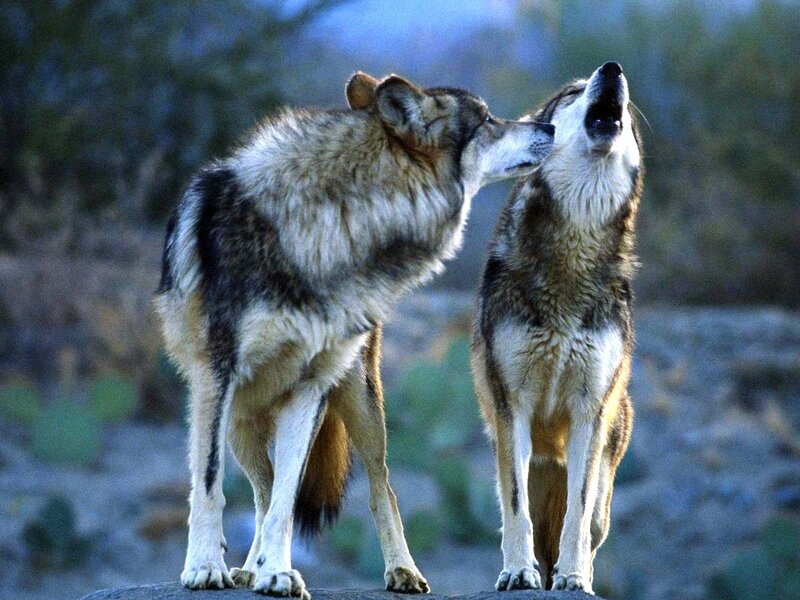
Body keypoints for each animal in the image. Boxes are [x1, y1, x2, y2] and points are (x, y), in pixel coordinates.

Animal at [155, 71, 555, 598]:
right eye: (488, 120)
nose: (550, 126)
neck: (337, 221)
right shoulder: (215, 378)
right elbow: (210, 484)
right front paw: (205, 566)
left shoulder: (308, 388)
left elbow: (286, 500)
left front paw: (278, 571)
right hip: (240, 418)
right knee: (259, 488)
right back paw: (246, 568)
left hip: (359, 402)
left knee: (377, 486)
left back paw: (400, 571)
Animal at [472, 61, 643, 593]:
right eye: (571, 92)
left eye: (629, 109)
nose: (613, 68)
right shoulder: (512, 406)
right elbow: (516, 508)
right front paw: (517, 572)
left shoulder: (590, 410)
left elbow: (577, 511)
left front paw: (572, 578)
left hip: (607, 480)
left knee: (590, 525)